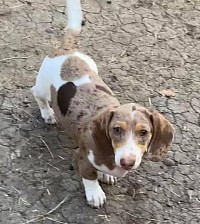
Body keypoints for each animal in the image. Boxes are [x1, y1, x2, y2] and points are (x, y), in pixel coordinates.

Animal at [31, 0, 173, 208]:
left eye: (144, 132)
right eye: (116, 130)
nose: (127, 162)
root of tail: (66, 50)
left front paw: (106, 175)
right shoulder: (83, 157)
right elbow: (89, 176)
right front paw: (95, 193)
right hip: (42, 87)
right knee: (36, 93)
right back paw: (47, 113)